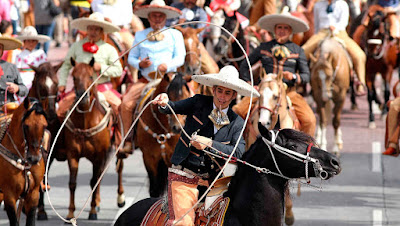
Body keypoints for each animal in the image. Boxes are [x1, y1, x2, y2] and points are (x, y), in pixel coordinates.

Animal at [63, 57, 114, 220]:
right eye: (74, 77)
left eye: (91, 76)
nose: (82, 96)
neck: (85, 124)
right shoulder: (72, 155)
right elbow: (72, 183)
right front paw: (70, 213)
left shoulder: (99, 156)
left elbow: (94, 182)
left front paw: (92, 211)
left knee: (99, 179)